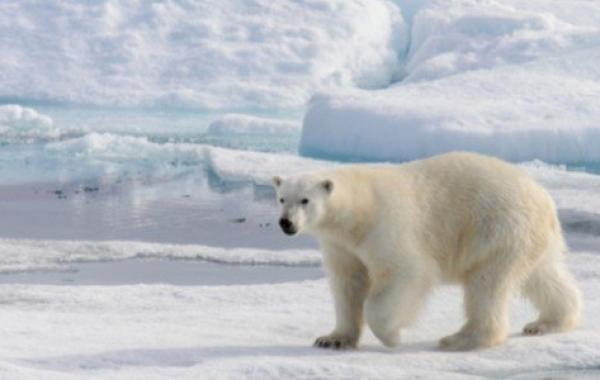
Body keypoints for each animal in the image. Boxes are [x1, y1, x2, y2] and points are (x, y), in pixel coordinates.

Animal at [274, 151, 584, 350]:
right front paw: (332, 339)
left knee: (487, 284)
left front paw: (391, 336)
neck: (358, 211)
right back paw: (547, 322)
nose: (285, 222)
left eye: (305, 200)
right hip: (528, 239)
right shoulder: (341, 245)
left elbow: (407, 272)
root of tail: (545, 199)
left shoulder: (387, 226)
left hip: (498, 229)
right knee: (542, 276)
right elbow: (348, 282)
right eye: (281, 198)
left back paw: (460, 339)